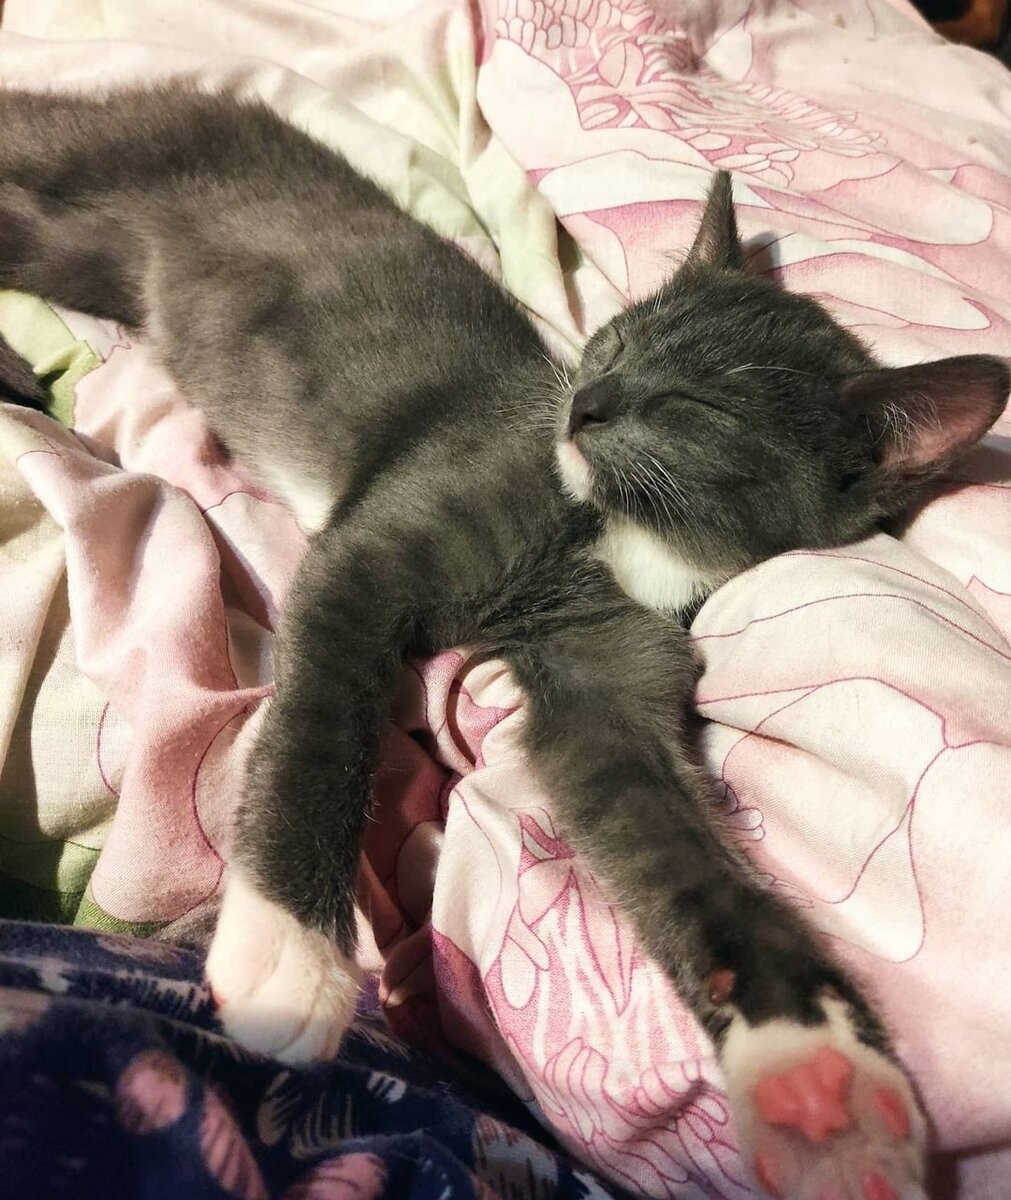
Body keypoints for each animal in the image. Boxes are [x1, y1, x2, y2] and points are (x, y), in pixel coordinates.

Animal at [0, 84, 1007, 1200]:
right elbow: (322, 723)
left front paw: (821, 1081)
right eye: (613, 341)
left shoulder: (608, 674)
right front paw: (289, 950)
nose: (585, 402)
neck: (609, 533)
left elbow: (661, 831)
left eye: (694, 404)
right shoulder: (370, 554)